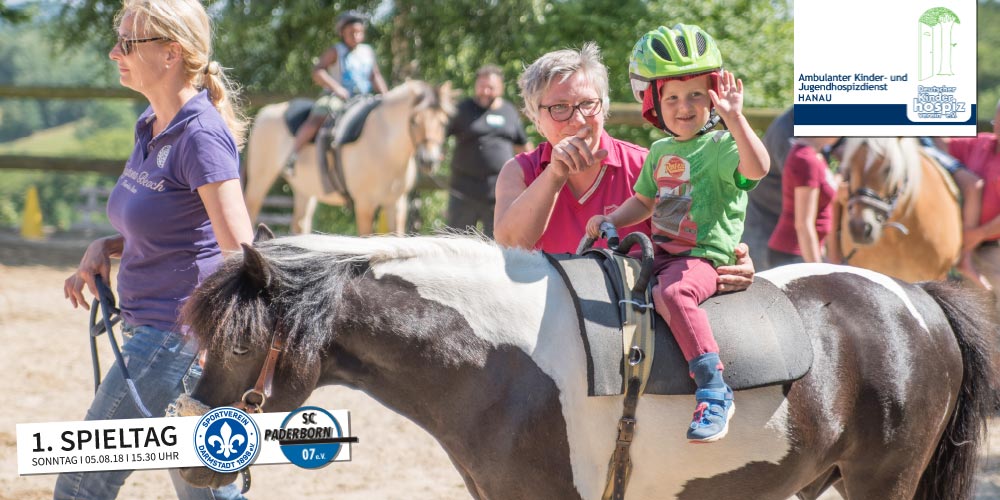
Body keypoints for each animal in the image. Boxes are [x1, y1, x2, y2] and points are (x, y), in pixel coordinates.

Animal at [244, 81, 456, 236]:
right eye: (414, 121)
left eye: (443, 122)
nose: (428, 160)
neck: (385, 145)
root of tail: (268, 111)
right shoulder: (364, 204)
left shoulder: (396, 204)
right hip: (259, 181)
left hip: (305, 190)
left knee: (300, 224)